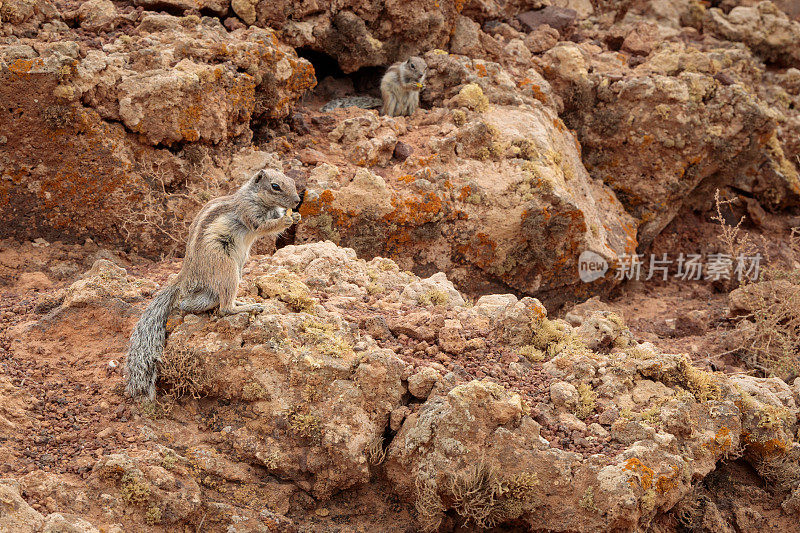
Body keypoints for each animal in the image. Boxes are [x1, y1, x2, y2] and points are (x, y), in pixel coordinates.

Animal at [126, 168, 302, 396]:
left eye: (292, 181)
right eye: (275, 186)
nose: (297, 201)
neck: (257, 198)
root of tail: (185, 274)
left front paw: (295, 216)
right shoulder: (248, 212)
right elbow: (263, 226)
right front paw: (287, 220)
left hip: (228, 275)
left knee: (193, 303)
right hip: (227, 269)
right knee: (225, 308)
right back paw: (247, 307)